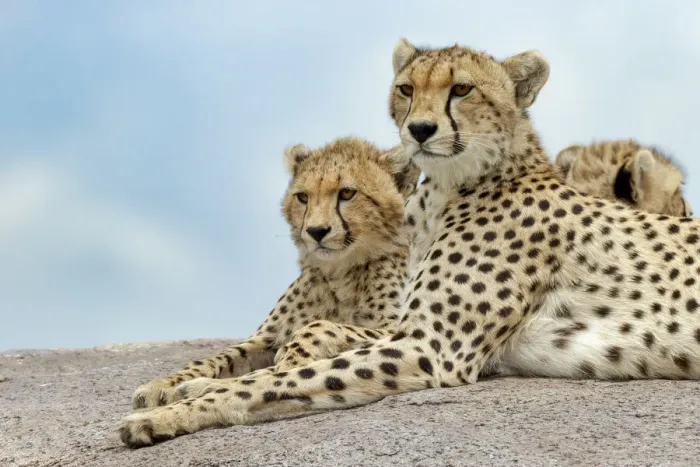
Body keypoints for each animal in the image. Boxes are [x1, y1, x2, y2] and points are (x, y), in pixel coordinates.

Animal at [128, 136, 420, 410]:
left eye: (347, 193)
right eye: (303, 197)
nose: (316, 231)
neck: (340, 271)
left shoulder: (399, 330)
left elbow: (319, 329)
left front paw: (293, 355)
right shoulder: (267, 337)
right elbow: (222, 355)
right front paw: (162, 384)